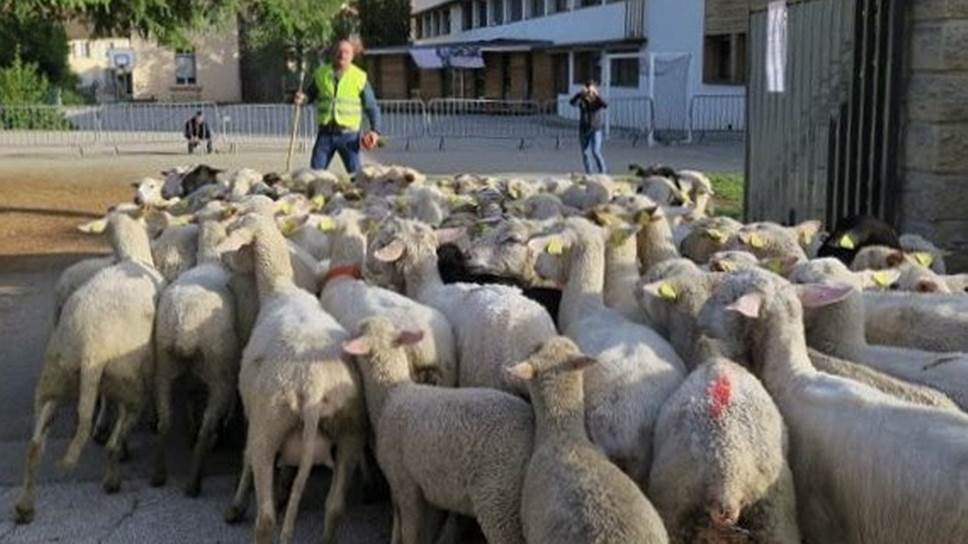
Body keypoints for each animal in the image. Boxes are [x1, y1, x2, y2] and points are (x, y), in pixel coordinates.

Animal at [14, 213, 165, 524]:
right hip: (129, 385)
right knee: (114, 442)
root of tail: (90, 346)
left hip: (54, 377)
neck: (133, 256)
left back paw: (24, 507)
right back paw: (112, 480)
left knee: (35, 446)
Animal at [151, 220, 241, 497]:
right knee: (207, 428)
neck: (211, 257)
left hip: (165, 364)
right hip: (219, 371)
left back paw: (159, 474)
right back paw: (194, 482)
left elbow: (191, 398)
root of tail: (184, 324)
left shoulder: (191, 374)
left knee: (164, 422)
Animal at [217, 213, 365, 544]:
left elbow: (246, 456)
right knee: (335, 507)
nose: (224, 260)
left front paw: (236, 505)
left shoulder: (253, 415)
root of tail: (313, 390)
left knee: (266, 518)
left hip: (271, 420)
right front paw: (284, 487)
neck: (280, 288)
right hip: (349, 428)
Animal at [344, 317, 533, 544]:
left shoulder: (405, 481)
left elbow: (411, 532)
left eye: (359, 331)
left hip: (499, 497)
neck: (392, 394)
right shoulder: (427, 484)